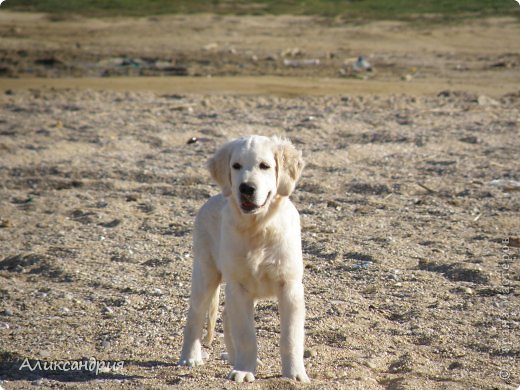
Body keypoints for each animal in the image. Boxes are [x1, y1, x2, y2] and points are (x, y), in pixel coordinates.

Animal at [179, 136, 308, 382]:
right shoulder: (238, 285)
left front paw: (295, 374)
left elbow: (290, 336)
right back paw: (190, 357)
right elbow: (246, 334)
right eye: (236, 166)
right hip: (205, 270)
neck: (258, 228)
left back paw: (232, 358)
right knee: (195, 314)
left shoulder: (290, 286)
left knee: (226, 315)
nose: (246, 188)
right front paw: (245, 370)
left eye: (265, 166)